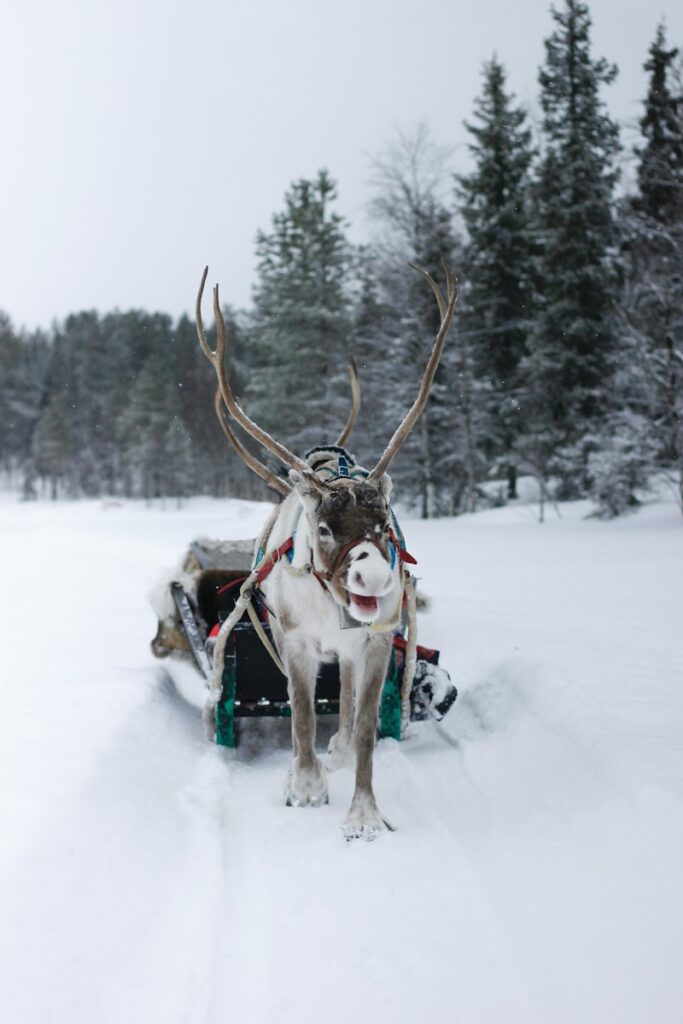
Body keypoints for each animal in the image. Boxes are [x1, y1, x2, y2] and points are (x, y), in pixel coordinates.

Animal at [195, 263, 457, 839]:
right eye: (324, 528)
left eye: (383, 524)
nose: (375, 580)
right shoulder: (294, 642)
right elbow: (301, 715)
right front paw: (306, 787)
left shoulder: (376, 643)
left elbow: (362, 726)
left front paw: (363, 814)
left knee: (349, 698)